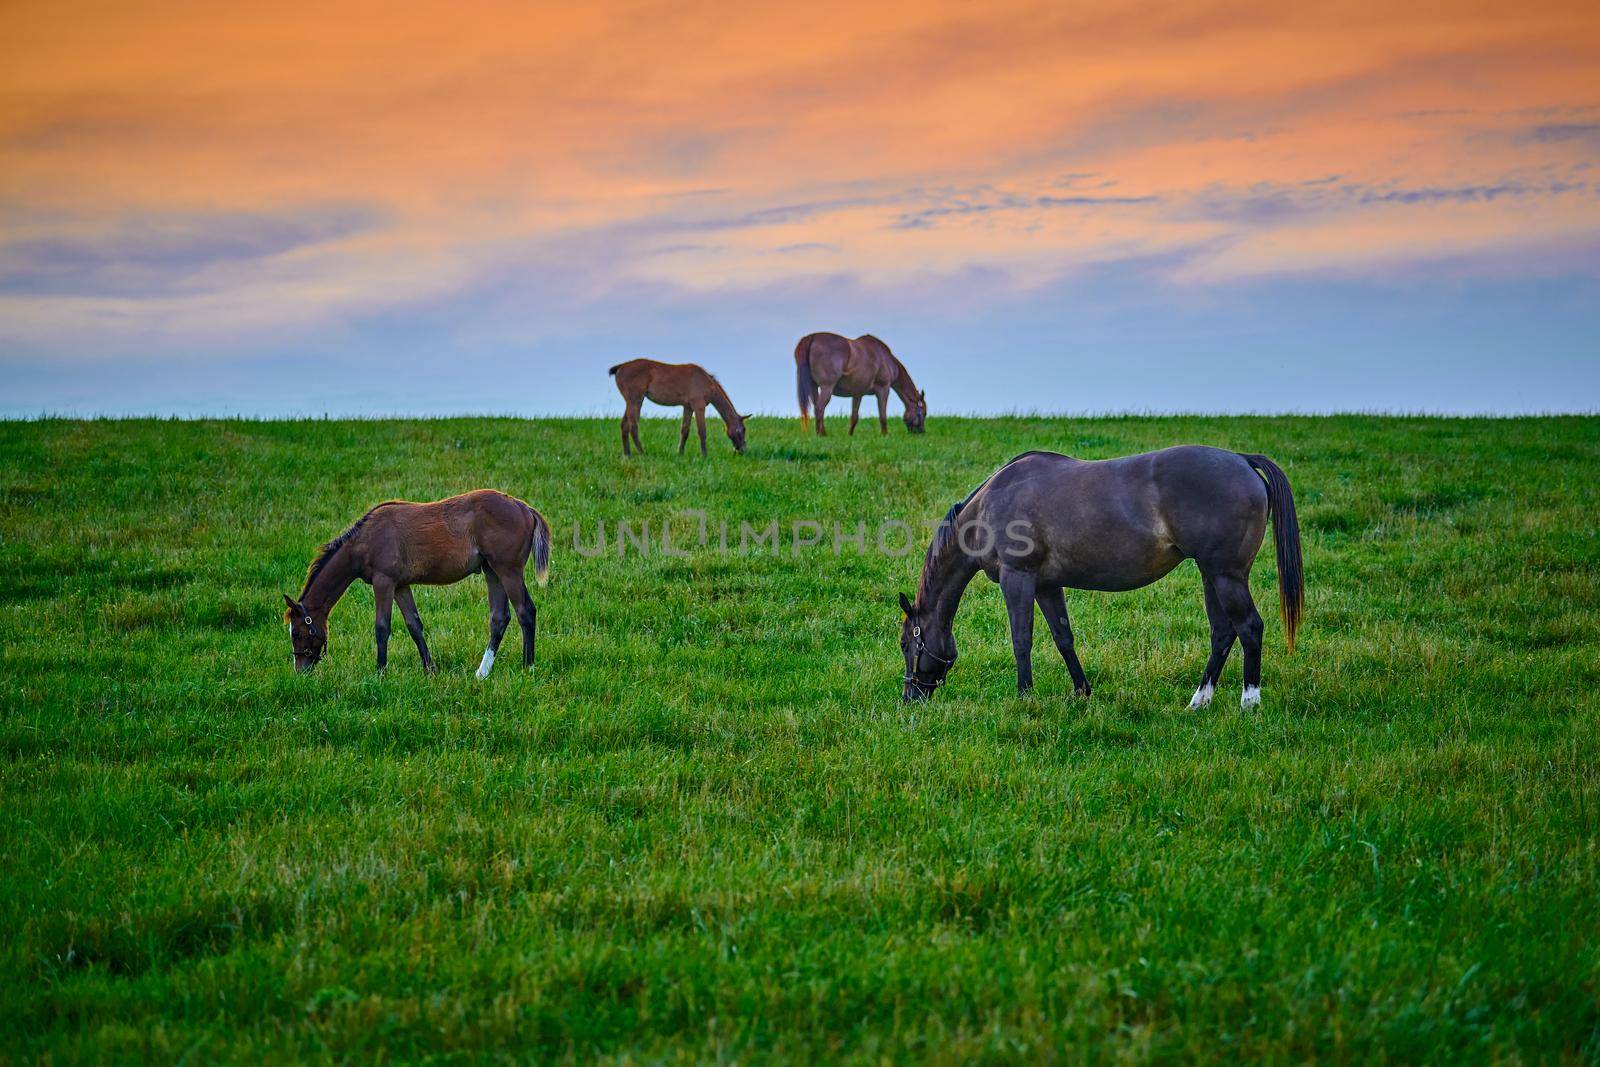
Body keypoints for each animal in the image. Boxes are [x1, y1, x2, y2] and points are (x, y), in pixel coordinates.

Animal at [278, 489, 547, 675]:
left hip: (508, 570)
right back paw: (482, 673)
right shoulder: (400, 586)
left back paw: (528, 667)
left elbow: (382, 627)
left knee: (525, 611)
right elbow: (414, 625)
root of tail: (524, 507)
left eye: (298, 632)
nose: (300, 671)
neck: (364, 540)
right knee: (499, 618)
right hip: (492, 571)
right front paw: (430, 669)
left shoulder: (383, 582)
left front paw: (380, 672)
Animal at [608, 361, 752, 457]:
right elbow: (702, 431)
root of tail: (620, 367)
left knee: (624, 425)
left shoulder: (687, 407)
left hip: (632, 402)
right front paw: (705, 456)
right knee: (633, 426)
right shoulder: (698, 406)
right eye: (743, 429)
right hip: (635, 401)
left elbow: (684, 431)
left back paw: (627, 454)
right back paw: (642, 453)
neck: (706, 381)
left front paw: (680, 453)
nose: (742, 450)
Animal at [796, 331, 928, 435]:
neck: (886, 359)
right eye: (923, 413)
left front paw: (850, 435)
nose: (921, 432)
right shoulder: (883, 389)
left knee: (817, 408)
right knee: (820, 408)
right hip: (826, 387)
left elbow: (854, 417)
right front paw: (885, 435)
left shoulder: (858, 393)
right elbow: (883, 416)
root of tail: (813, 337)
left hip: (814, 387)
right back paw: (821, 435)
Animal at [896, 447, 1305, 710]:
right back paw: (1199, 701)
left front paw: (1025, 696)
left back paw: (1249, 701)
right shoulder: (1047, 585)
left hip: (1226, 576)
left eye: (905, 644)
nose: (910, 697)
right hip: (1211, 576)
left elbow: (1021, 640)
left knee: (1249, 627)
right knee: (1222, 632)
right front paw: (1081, 691)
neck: (989, 505)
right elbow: (1063, 638)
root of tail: (1243, 461)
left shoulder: (1019, 579)